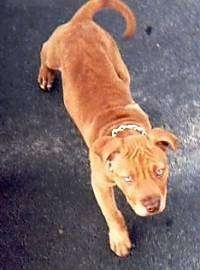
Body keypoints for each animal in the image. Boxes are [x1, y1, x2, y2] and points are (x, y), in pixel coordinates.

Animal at [38, 0, 180, 258]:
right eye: (127, 179)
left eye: (160, 171)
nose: (153, 206)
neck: (122, 128)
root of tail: (80, 22)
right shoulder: (100, 184)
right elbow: (113, 213)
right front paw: (120, 239)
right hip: (54, 53)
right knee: (44, 51)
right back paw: (45, 74)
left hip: (117, 59)